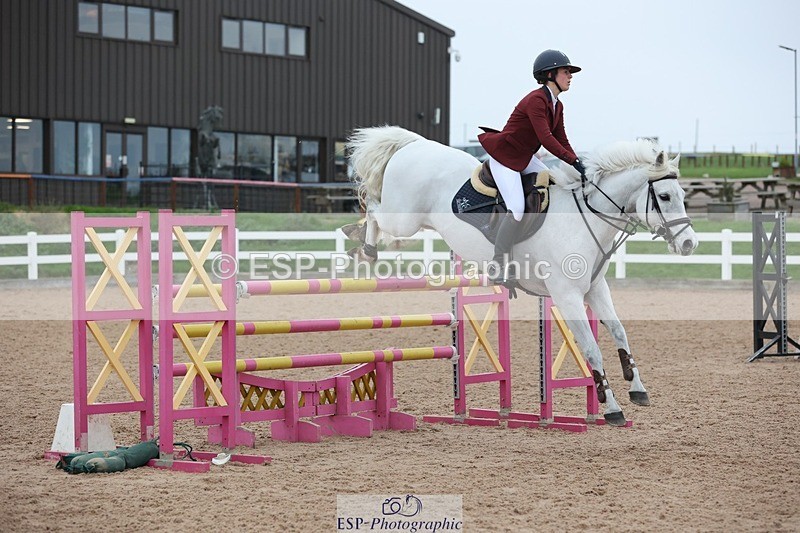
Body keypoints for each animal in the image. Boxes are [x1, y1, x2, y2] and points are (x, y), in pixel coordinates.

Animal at [345, 125, 699, 425]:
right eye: (664, 196)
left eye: (682, 195)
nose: (689, 243)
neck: (585, 217)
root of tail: (415, 144)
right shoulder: (567, 298)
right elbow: (591, 349)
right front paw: (611, 407)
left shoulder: (595, 290)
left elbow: (619, 332)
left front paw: (637, 388)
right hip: (402, 218)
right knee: (373, 209)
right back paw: (363, 244)